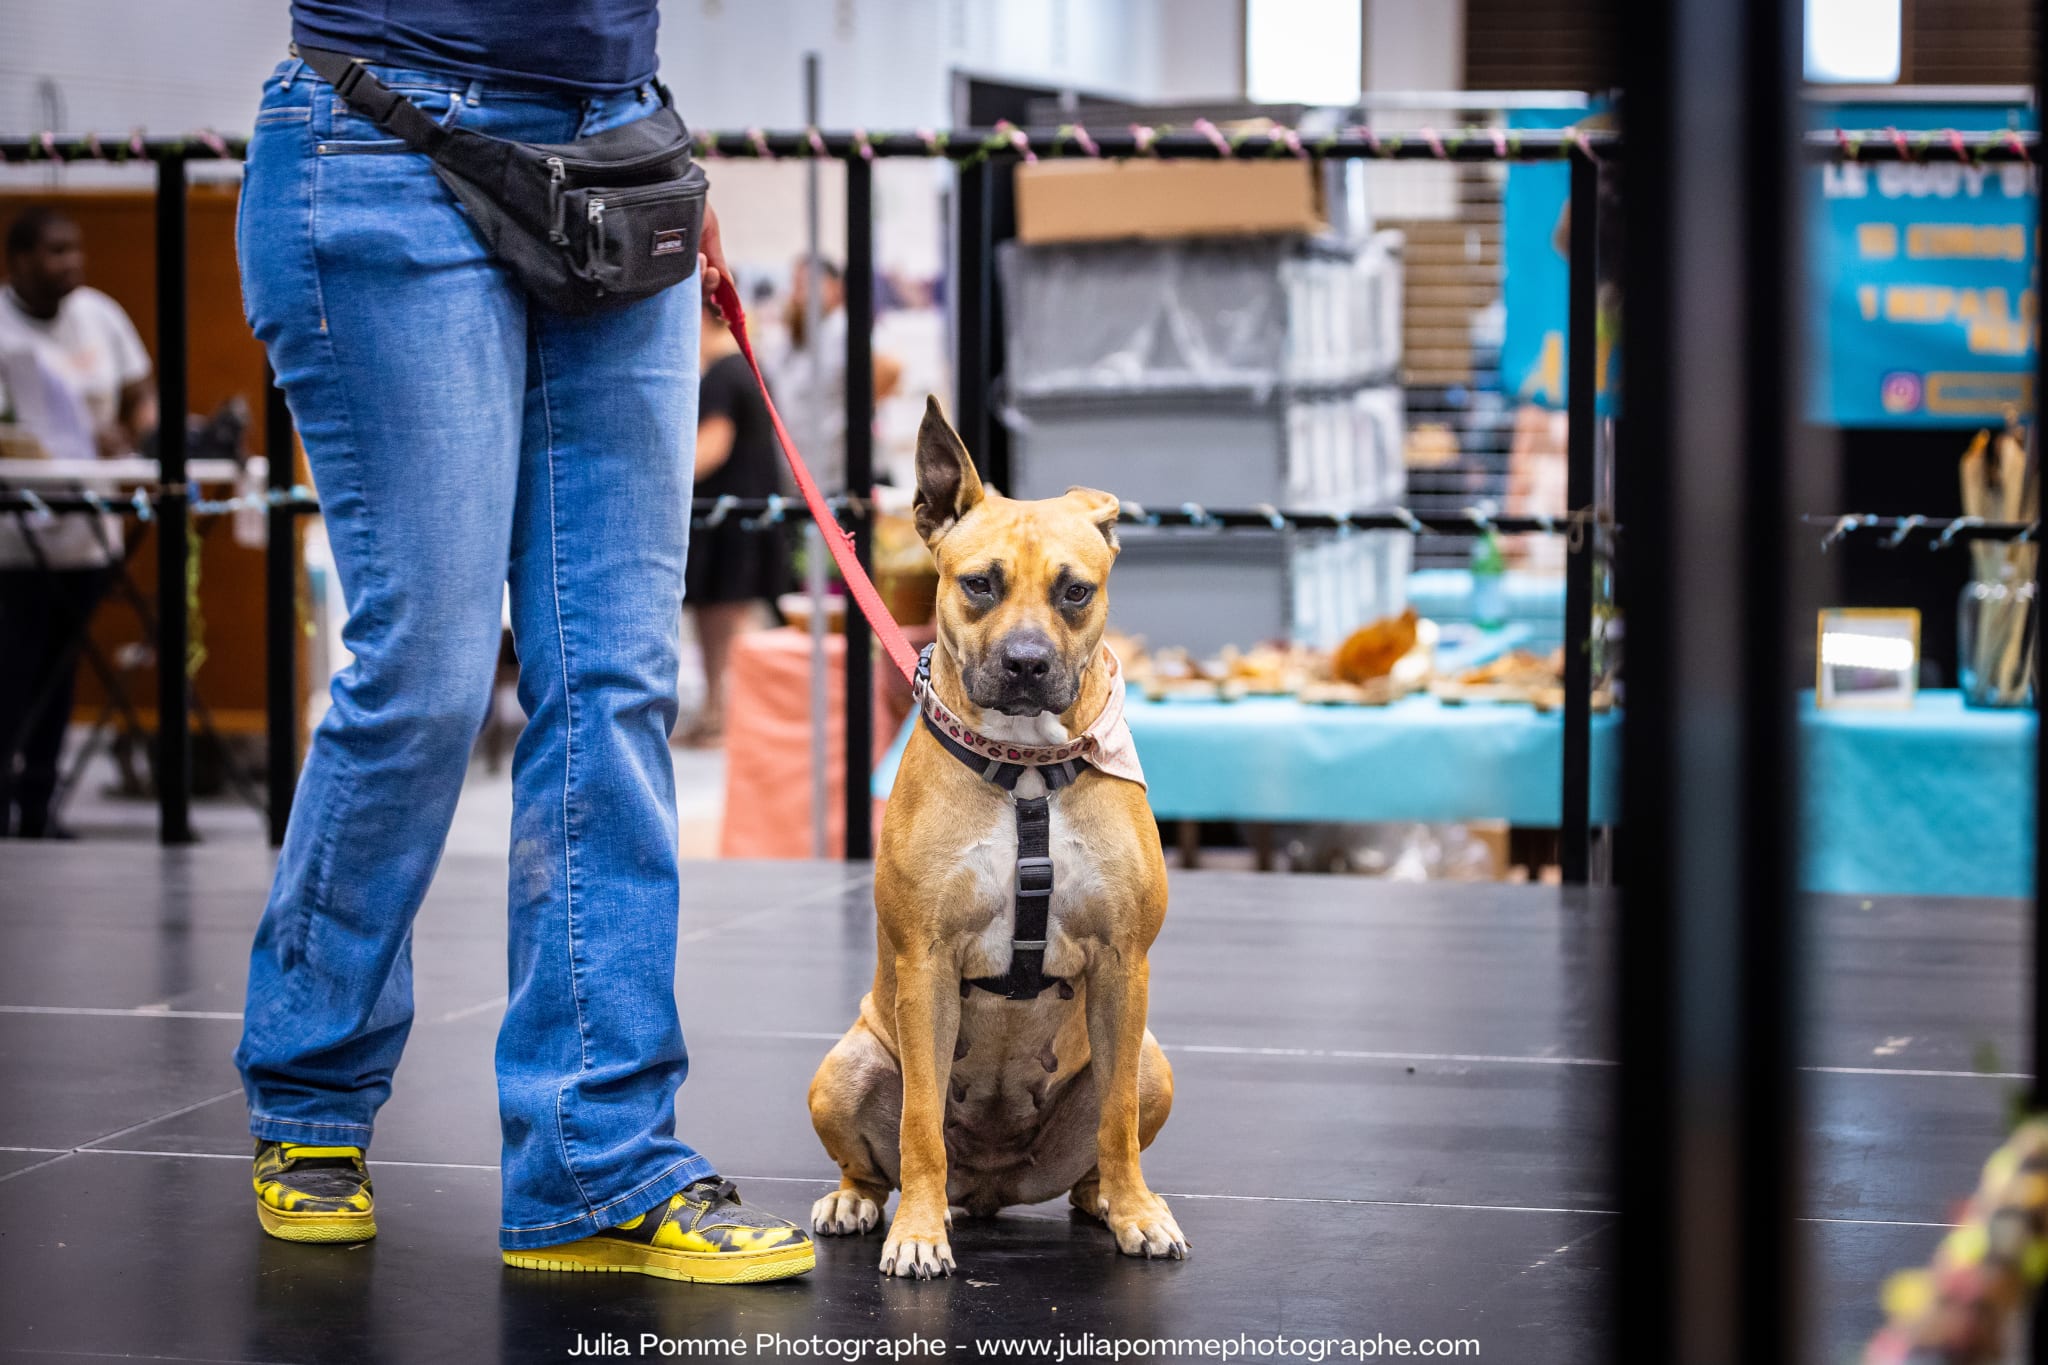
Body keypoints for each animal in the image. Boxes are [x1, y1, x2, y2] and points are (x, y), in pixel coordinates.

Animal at [802, 397, 1187, 1285]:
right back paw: (863, 1201)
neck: (1027, 773)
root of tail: (988, 1186)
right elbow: (917, 1124)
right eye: (980, 583)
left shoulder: (1124, 963)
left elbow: (1116, 1116)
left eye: (1076, 591)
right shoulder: (927, 965)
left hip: (1152, 1060)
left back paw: (1110, 1200)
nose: (1025, 662)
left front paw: (1139, 1212)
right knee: (877, 1160)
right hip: (845, 1067)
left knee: (1098, 1149)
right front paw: (916, 1231)